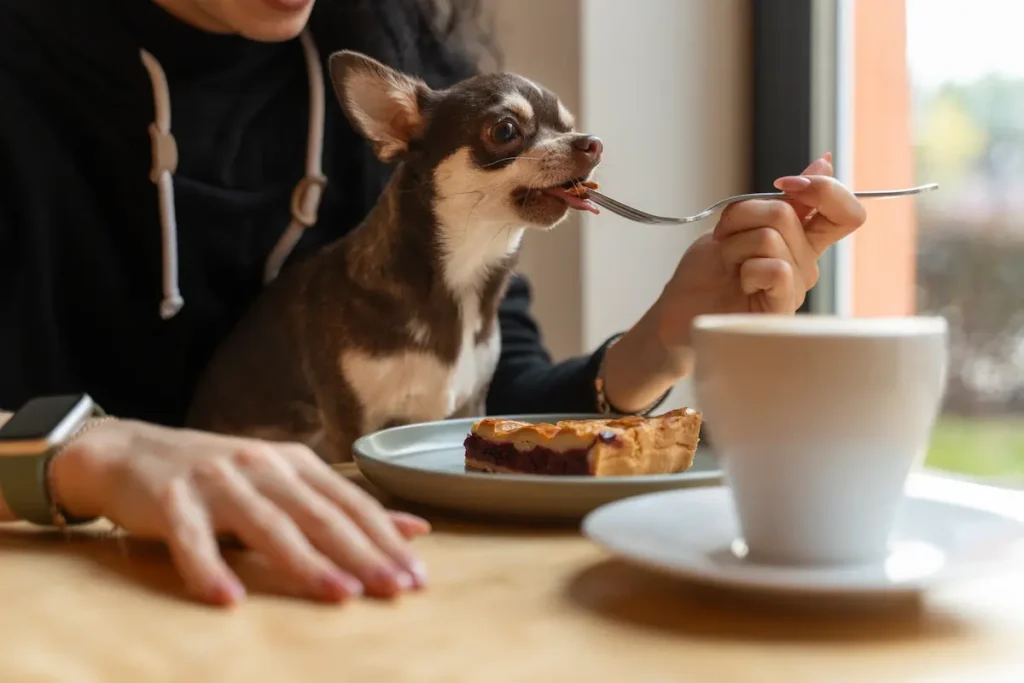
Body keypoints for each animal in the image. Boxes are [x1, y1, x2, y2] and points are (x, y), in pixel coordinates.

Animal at [186, 50, 598, 462]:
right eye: (505, 131)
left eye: (568, 126)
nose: (591, 143)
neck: (461, 278)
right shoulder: (351, 422)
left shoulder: (469, 404)